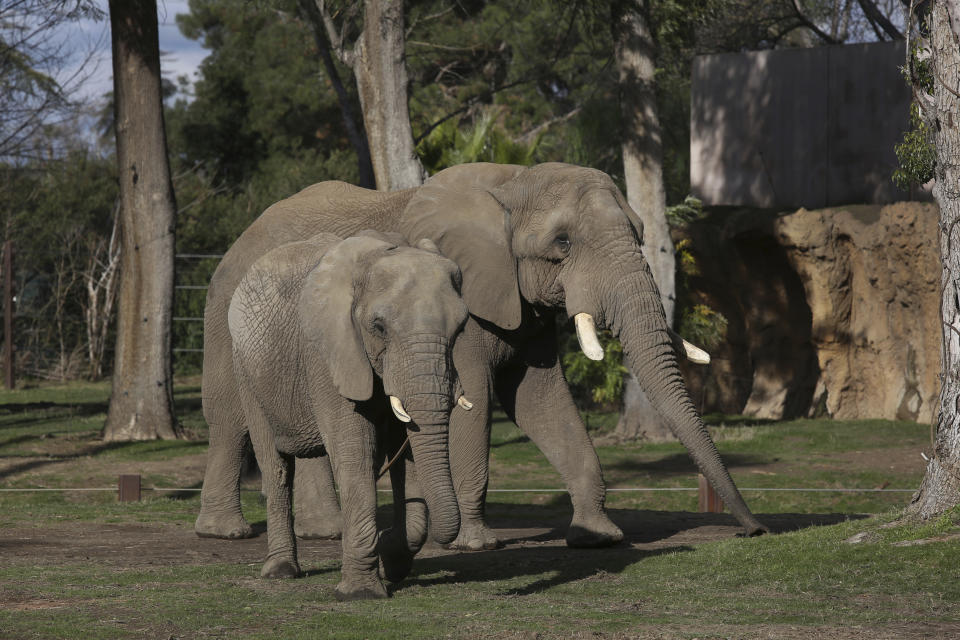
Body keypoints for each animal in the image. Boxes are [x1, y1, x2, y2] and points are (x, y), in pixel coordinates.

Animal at [199, 161, 768, 552]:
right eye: (563, 243)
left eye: (641, 234)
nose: (753, 530)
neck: (514, 183)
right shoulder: (462, 304)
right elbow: (472, 398)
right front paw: (476, 543)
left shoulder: (524, 307)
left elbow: (543, 402)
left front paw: (598, 536)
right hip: (226, 318)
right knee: (229, 420)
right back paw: (227, 534)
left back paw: (327, 532)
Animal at [232, 231, 472, 600]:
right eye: (378, 327)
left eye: (461, 328)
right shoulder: (328, 353)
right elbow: (353, 450)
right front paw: (361, 593)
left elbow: (406, 456)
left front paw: (392, 558)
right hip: (247, 373)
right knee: (275, 467)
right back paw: (281, 572)